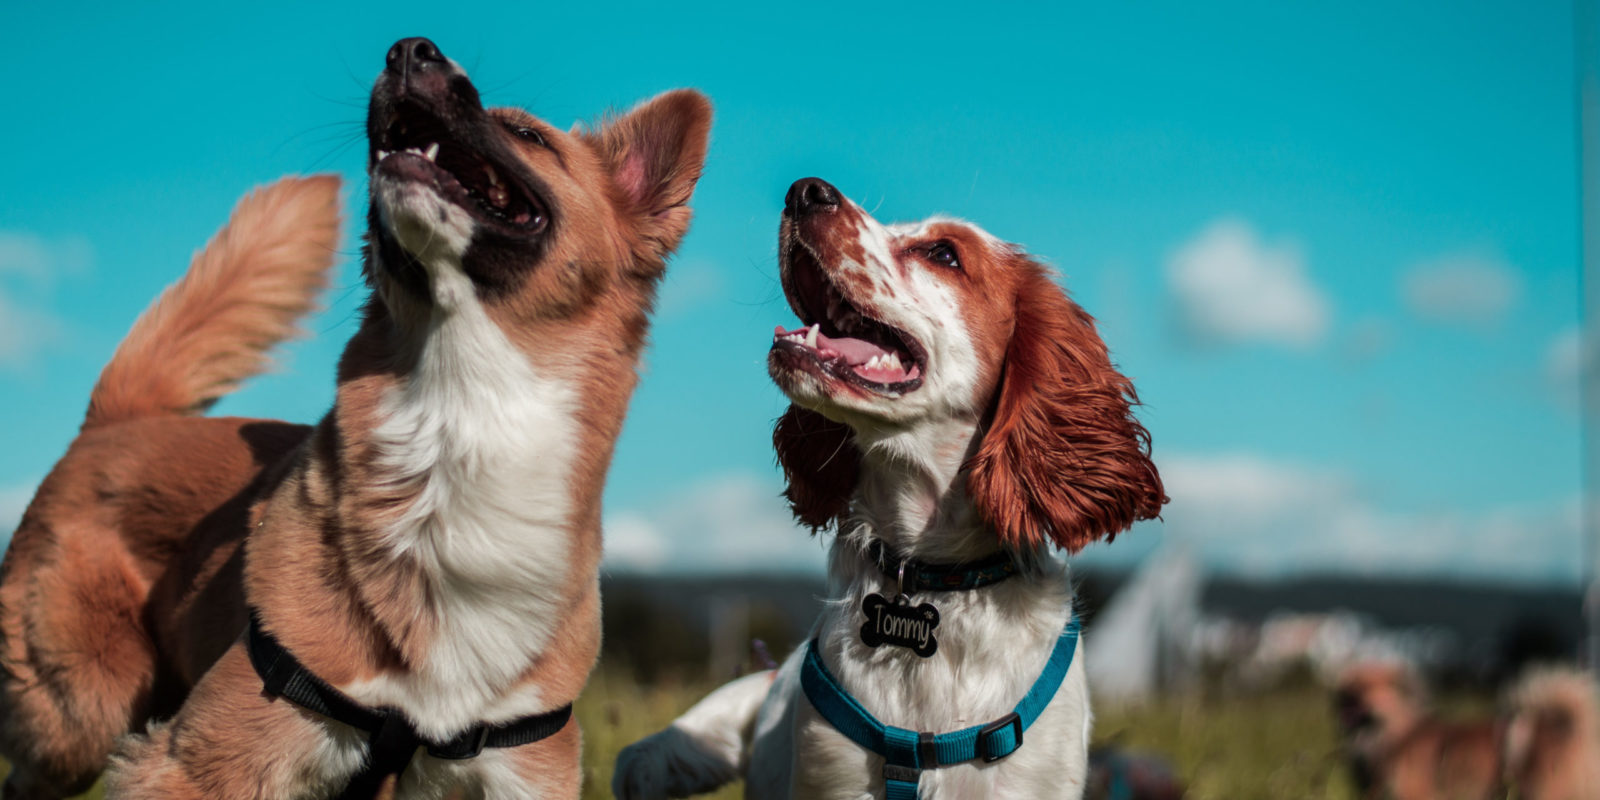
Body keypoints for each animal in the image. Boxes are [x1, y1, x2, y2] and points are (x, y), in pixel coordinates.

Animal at [0, 34, 707, 796]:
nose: (410, 49)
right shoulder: (197, 763)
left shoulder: (524, 772)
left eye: (528, 136)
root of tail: (121, 419)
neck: (459, 419)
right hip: (80, 715)